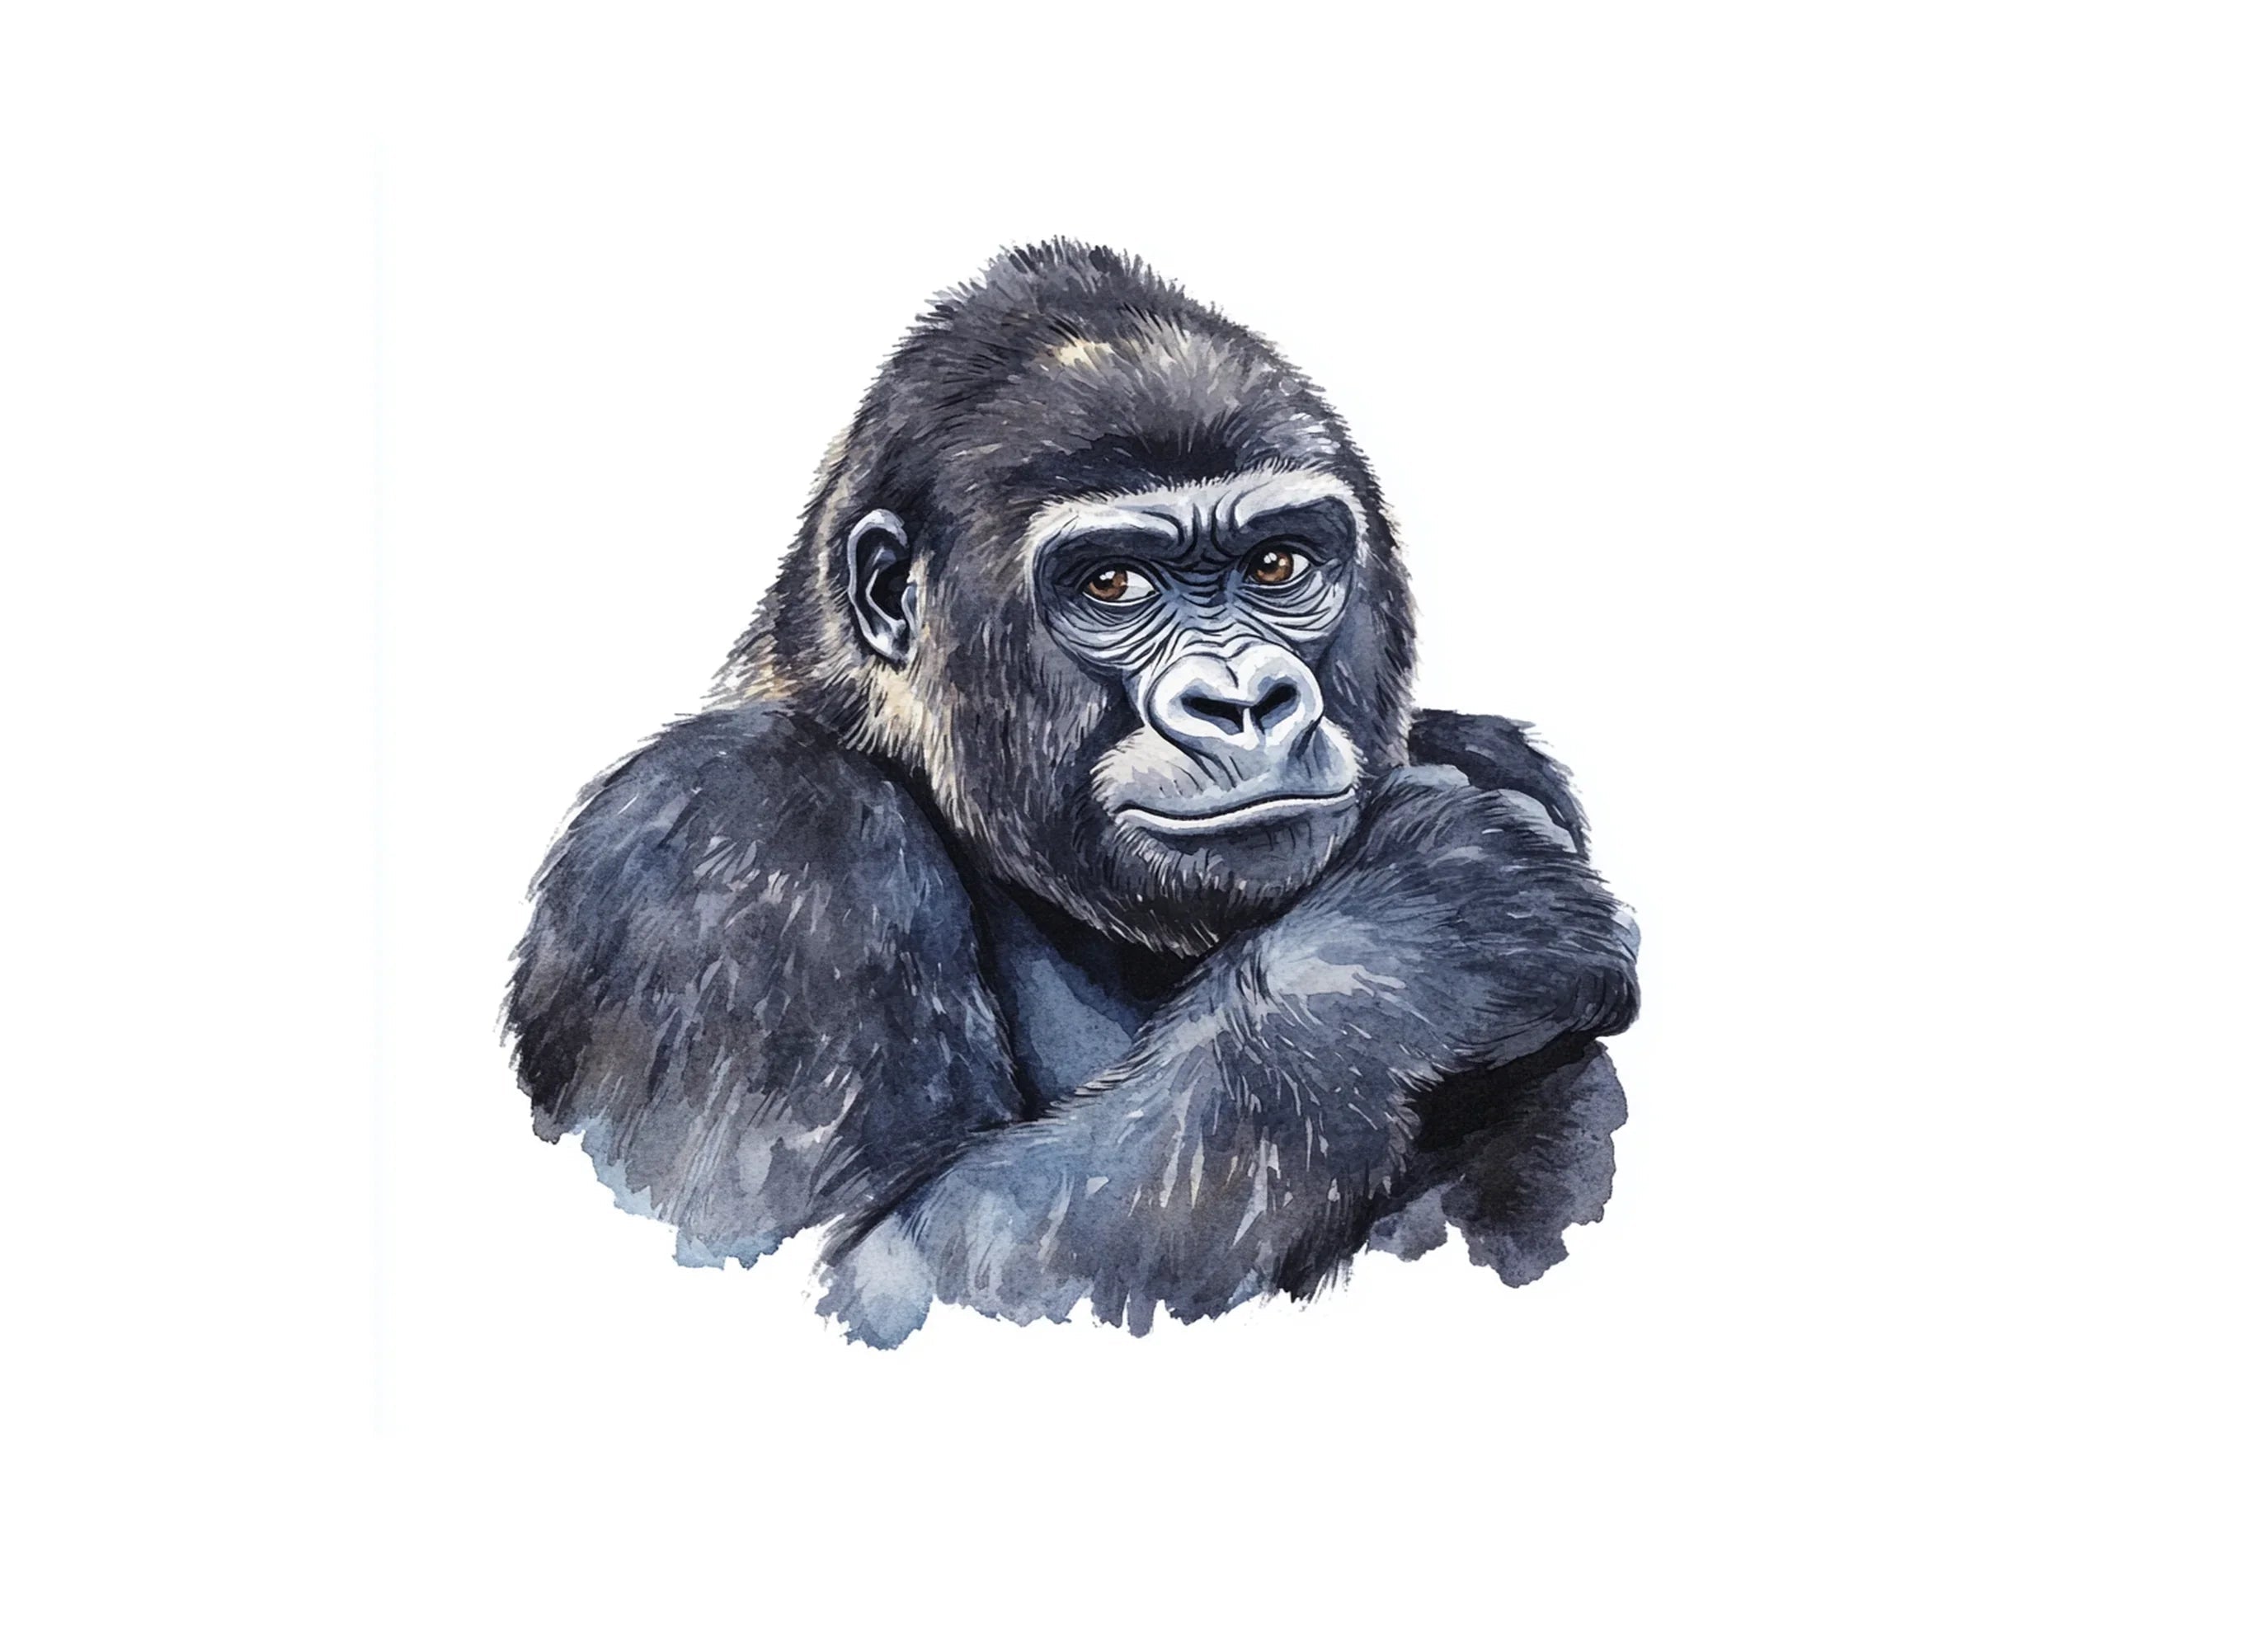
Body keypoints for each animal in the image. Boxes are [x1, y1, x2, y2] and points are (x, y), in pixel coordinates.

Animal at [507, 240, 1638, 1345]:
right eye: (1112, 584)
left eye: (1278, 563)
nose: (1243, 701)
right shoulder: (739, 837)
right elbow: (855, 1259)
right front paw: (1402, 945)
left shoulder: (1504, 759)